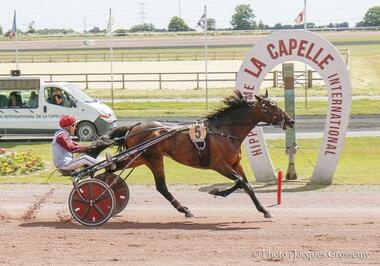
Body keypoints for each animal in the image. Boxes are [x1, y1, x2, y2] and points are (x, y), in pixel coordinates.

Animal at [88, 90, 294, 219]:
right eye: (272, 106)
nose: (291, 120)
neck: (224, 131)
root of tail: (134, 127)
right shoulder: (219, 165)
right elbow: (242, 183)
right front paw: (219, 192)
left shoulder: (235, 164)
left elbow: (245, 184)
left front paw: (263, 209)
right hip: (153, 158)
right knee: (161, 186)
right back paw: (184, 209)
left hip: (138, 158)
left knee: (110, 169)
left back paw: (102, 194)